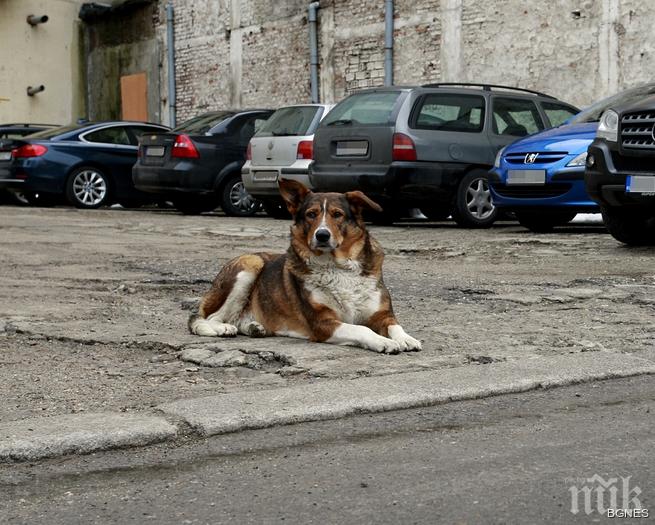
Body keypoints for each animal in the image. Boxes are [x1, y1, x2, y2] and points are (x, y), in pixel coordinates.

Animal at [190, 178, 422, 354]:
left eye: (337, 214)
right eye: (311, 214)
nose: (322, 235)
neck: (338, 266)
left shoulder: (381, 315)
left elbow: (395, 325)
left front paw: (406, 338)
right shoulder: (323, 323)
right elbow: (361, 330)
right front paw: (383, 342)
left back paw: (254, 326)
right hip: (250, 263)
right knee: (205, 318)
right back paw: (221, 329)